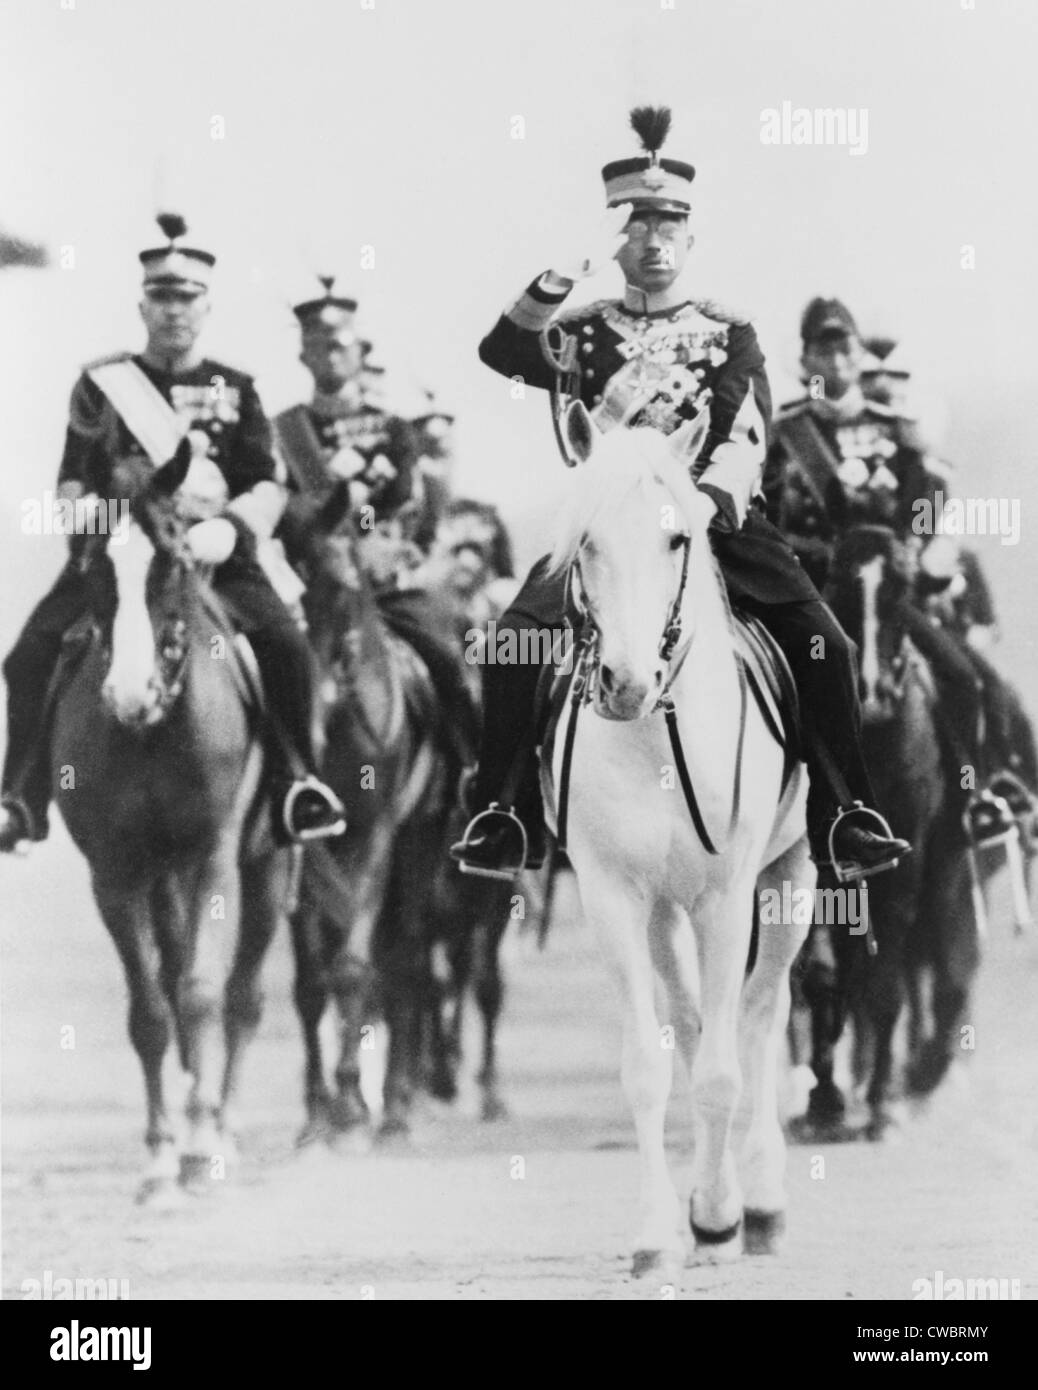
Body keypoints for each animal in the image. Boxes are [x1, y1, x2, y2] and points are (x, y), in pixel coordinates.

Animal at [51, 447, 290, 1206]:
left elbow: (204, 994)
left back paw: (225, 1127)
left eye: (173, 563)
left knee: (243, 998)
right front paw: (159, 1158)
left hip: (269, 868)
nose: (130, 694)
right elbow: (152, 1011)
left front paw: (200, 1147)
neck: (153, 733)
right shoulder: (115, 874)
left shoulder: (214, 858)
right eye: (95, 568)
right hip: (162, 881)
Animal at [547, 405, 817, 1273]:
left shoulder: (729, 897)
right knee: (700, 1024)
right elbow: (649, 1065)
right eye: (586, 541)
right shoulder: (614, 896)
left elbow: (727, 1069)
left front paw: (721, 1217)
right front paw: (661, 1233)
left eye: (676, 539)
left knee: (761, 1016)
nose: (626, 685)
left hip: (790, 873)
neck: (655, 740)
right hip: (668, 909)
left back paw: (759, 1203)